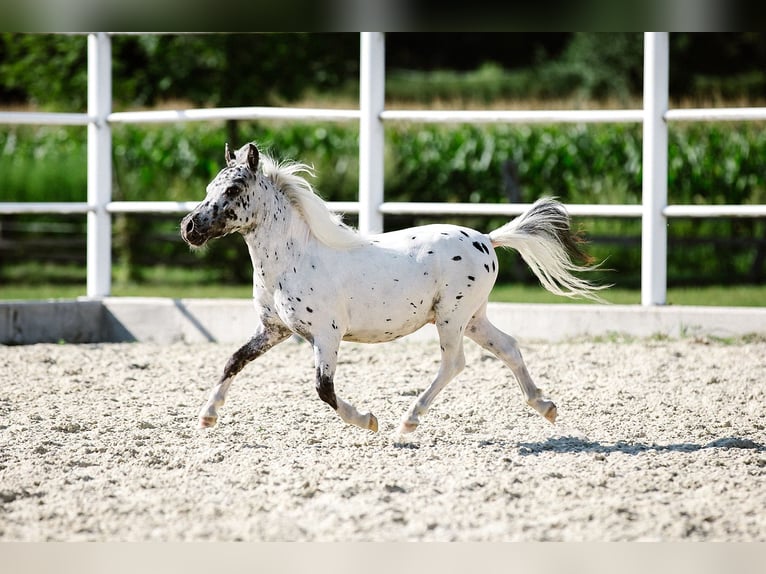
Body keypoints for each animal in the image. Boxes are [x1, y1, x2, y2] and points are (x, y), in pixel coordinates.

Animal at [181, 142, 606, 435]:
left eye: (234, 189)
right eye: (210, 186)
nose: (189, 227)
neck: (292, 258)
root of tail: (487, 238)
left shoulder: (326, 335)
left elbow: (323, 389)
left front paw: (368, 420)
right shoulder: (274, 329)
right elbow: (233, 360)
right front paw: (206, 416)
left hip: (452, 318)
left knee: (454, 363)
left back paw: (408, 421)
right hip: (472, 318)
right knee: (508, 347)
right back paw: (545, 407)